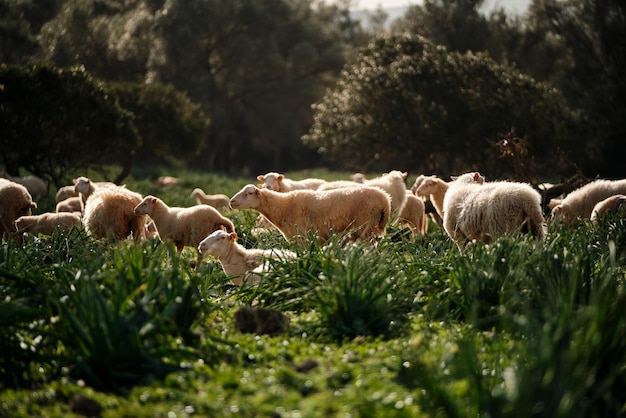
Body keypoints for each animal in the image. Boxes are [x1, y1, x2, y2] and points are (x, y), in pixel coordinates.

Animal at [227, 185, 388, 243]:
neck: (283, 207)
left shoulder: (303, 237)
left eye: (249, 193)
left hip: (365, 227)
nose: (231, 201)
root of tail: (385, 199)